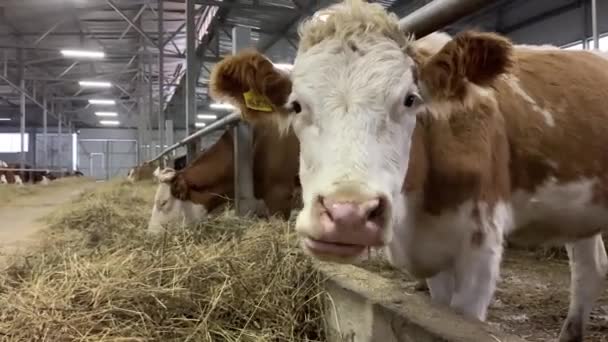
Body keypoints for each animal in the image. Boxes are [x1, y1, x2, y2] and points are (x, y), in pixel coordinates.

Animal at [208, 1, 608, 340]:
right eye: (296, 105)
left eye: (410, 99)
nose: (348, 215)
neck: (417, 212)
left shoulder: (481, 248)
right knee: (588, 269)